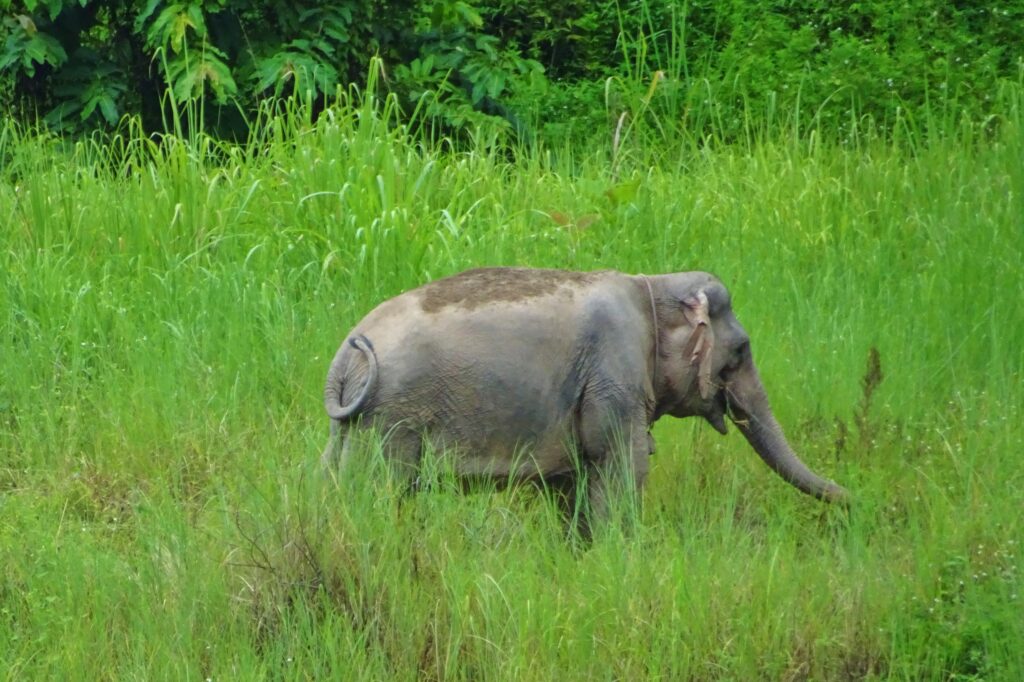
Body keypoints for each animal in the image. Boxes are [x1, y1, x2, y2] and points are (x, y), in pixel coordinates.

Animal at [321, 266, 847, 520]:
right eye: (739, 352)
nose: (853, 498)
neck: (652, 285)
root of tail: (347, 354)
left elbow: (573, 483)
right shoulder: (613, 373)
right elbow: (623, 467)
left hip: (351, 428)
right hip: (391, 419)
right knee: (377, 492)